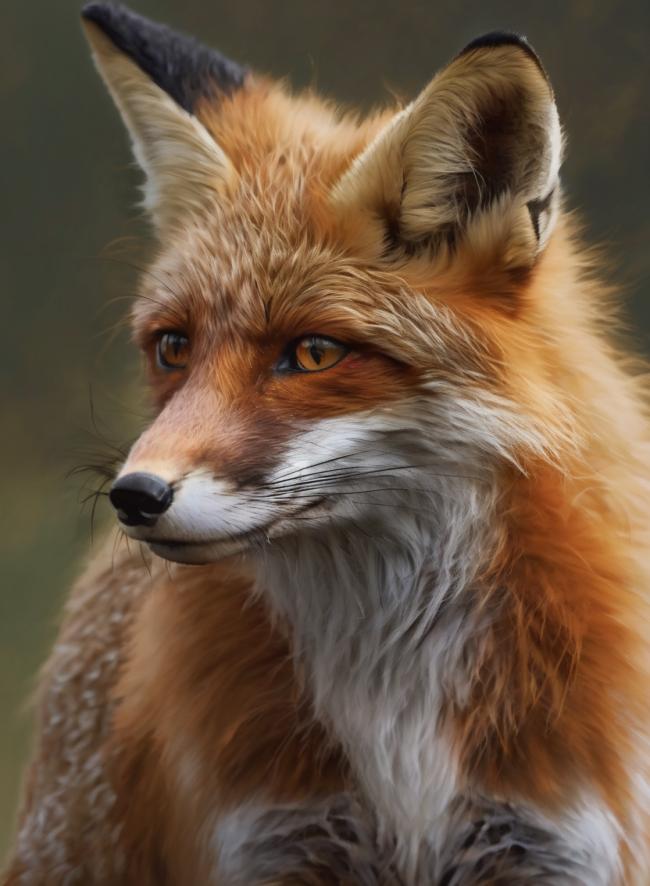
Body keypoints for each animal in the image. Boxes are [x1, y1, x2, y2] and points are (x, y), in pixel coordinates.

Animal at [3, 2, 650, 884]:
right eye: (173, 347)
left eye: (312, 353)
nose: (134, 496)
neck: (395, 712)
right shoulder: (269, 841)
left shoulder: (555, 841)